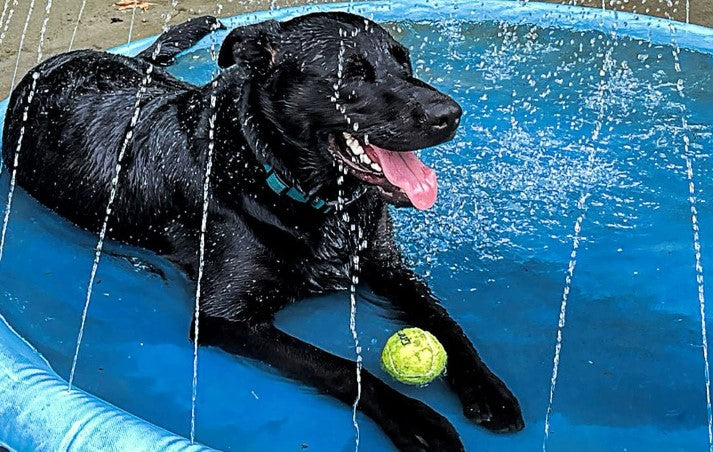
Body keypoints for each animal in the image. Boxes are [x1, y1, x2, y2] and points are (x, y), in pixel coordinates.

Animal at [0, 12, 524, 450]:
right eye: (350, 74)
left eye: (404, 61)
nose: (449, 114)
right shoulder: (225, 318)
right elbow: (341, 368)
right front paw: (417, 419)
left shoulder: (388, 268)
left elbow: (446, 322)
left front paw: (487, 387)